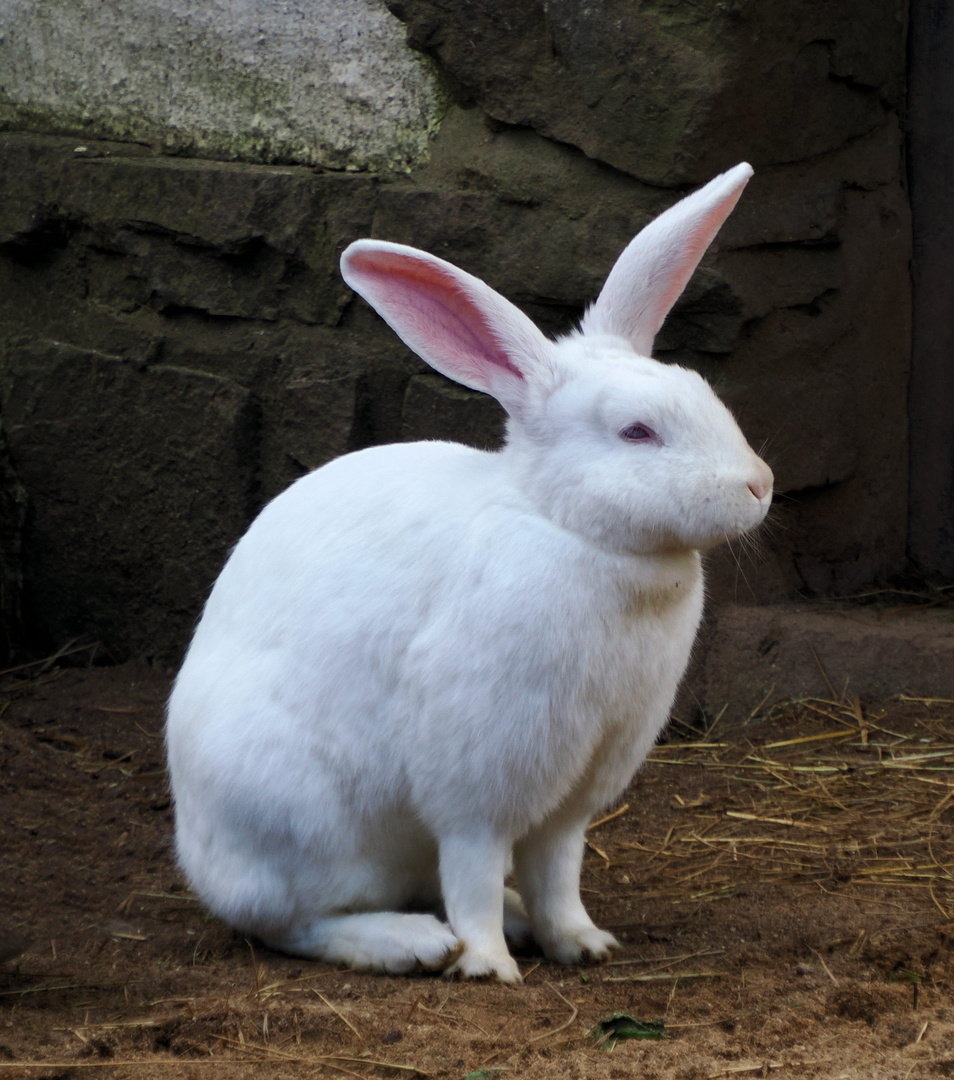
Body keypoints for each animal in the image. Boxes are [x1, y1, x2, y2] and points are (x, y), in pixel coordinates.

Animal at [166, 159, 777, 980]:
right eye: (636, 432)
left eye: (705, 395)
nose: (760, 485)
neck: (567, 528)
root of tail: (199, 856)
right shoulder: (477, 782)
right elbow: (477, 865)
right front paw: (488, 965)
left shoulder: (575, 792)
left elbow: (558, 869)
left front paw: (581, 943)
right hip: (294, 820)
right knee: (292, 922)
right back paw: (415, 943)